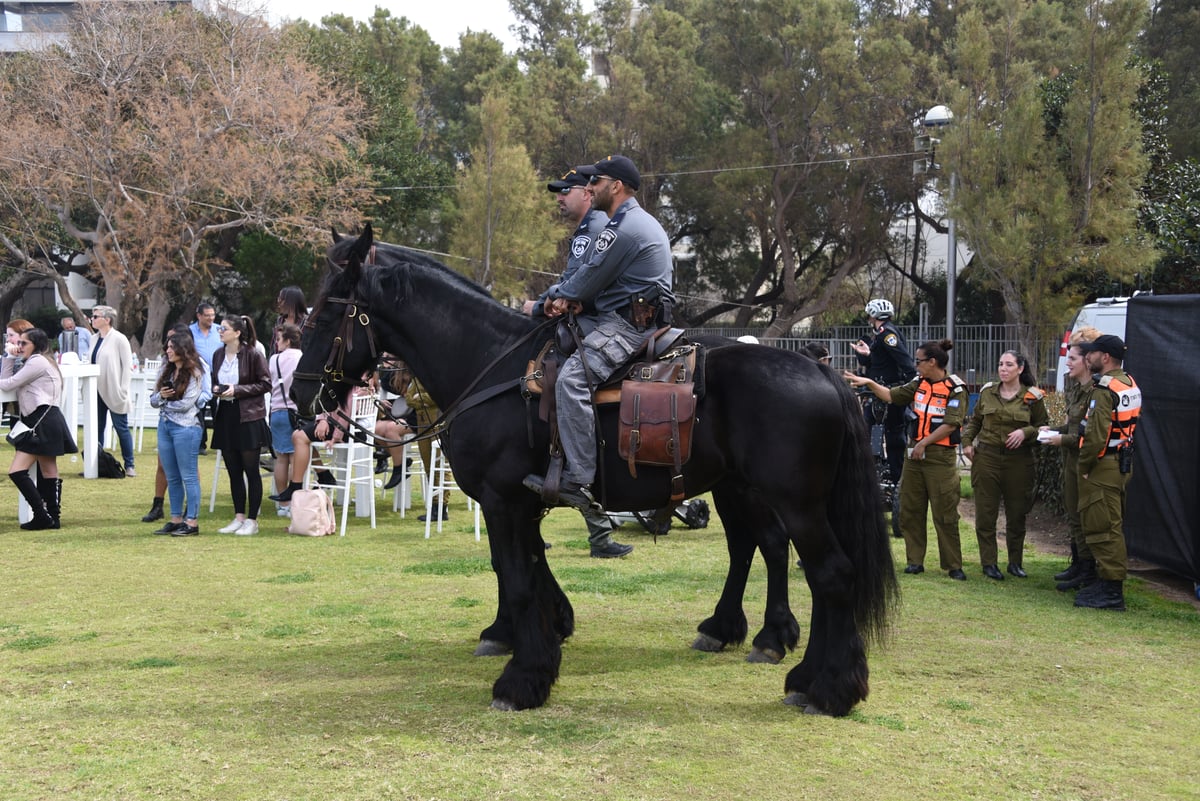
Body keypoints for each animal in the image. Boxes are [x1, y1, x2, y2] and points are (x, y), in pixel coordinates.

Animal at [288, 226, 892, 719]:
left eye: (326, 312)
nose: (299, 394)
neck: (494, 365)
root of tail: (824, 372)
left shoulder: (503, 501)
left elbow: (516, 577)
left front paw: (523, 677)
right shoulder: (522, 502)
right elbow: (526, 567)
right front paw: (539, 630)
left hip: (794, 502)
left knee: (829, 573)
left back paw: (827, 686)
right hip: (743, 490)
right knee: (763, 550)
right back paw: (767, 646)